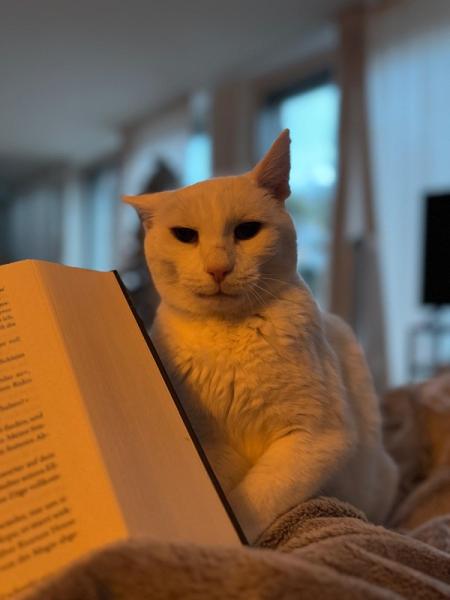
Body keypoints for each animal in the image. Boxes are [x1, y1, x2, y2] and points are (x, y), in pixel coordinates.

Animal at [123, 130, 398, 542]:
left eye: (246, 231)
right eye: (185, 236)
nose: (218, 268)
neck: (229, 334)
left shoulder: (316, 437)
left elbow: (254, 496)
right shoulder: (207, 439)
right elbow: (227, 476)